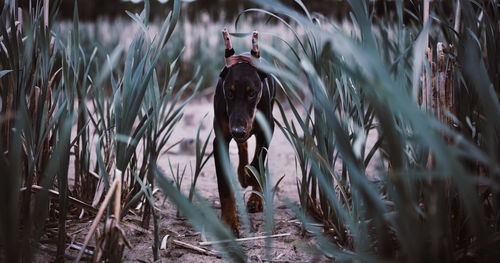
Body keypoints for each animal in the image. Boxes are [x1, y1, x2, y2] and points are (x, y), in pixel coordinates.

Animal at [213, 28, 276, 237]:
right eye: (229, 92)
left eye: (252, 93)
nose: (238, 130)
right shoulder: (220, 139)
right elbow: (224, 184)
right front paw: (229, 222)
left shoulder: (268, 129)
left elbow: (258, 161)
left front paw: (251, 177)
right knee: (243, 144)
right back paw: (241, 172)